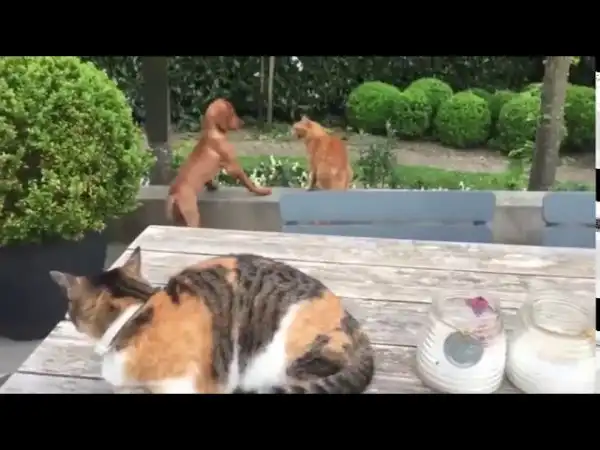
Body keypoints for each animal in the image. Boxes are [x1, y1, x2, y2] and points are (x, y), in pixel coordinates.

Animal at [166, 99, 272, 227]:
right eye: (232, 113)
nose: (242, 123)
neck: (212, 132)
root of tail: (173, 194)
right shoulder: (233, 166)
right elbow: (248, 181)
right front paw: (262, 191)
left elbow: (210, 180)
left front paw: (213, 187)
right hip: (192, 214)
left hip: (179, 218)